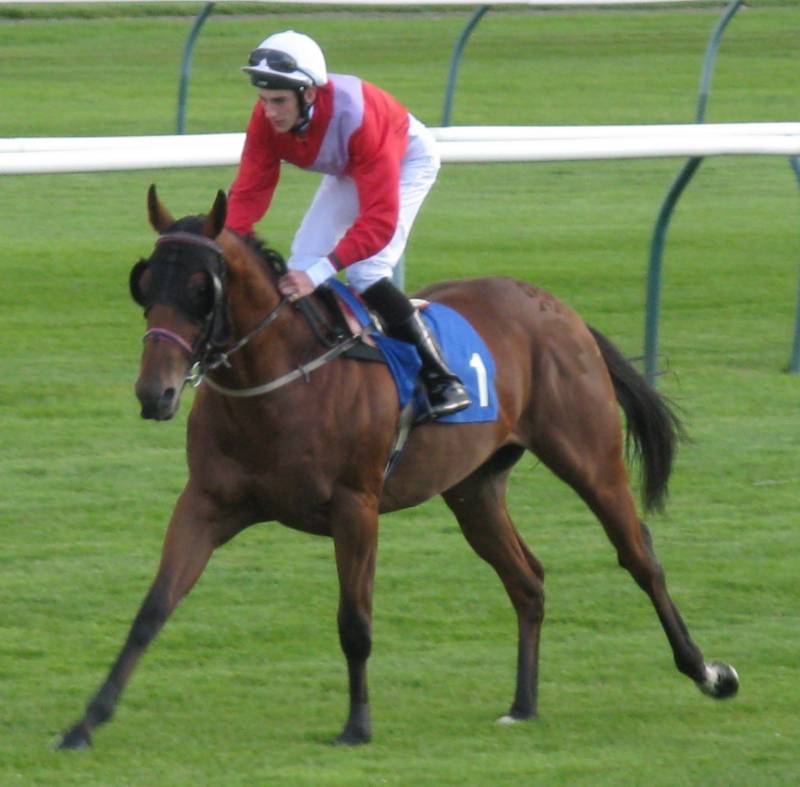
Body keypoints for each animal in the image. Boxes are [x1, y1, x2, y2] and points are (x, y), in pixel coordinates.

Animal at [58, 186, 738, 750]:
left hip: (588, 456)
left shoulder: (355, 507)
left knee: (639, 556)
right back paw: (523, 703)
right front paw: (86, 721)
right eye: (146, 285)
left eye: (203, 289)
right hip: (474, 489)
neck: (282, 381)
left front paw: (357, 725)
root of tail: (560, 310)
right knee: (527, 579)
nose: (156, 393)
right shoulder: (205, 503)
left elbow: (354, 622)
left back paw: (706, 671)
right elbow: (153, 608)